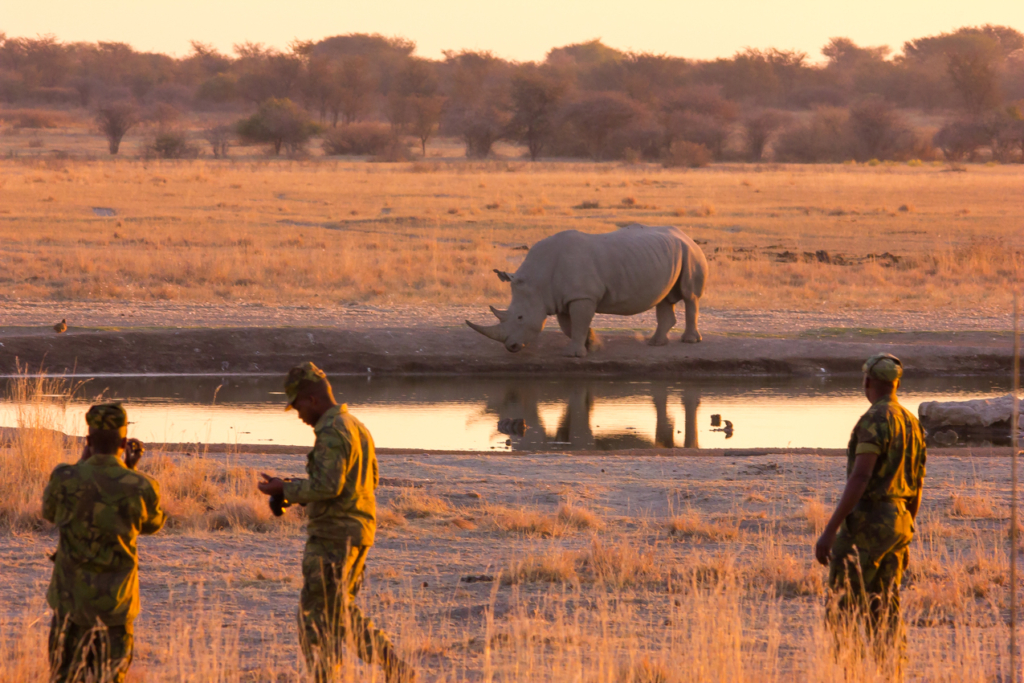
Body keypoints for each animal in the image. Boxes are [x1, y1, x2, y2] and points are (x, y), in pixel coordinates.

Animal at [464, 227, 704, 360]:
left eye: (520, 317)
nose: (511, 347)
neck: (537, 281)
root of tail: (685, 235)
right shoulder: (561, 297)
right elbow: (569, 326)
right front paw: (592, 344)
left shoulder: (582, 296)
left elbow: (578, 322)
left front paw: (574, 355)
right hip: (668, 254)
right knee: (664, 297)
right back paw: (655, 343)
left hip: (690, 252)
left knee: (689, 295)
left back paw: (689, 341)